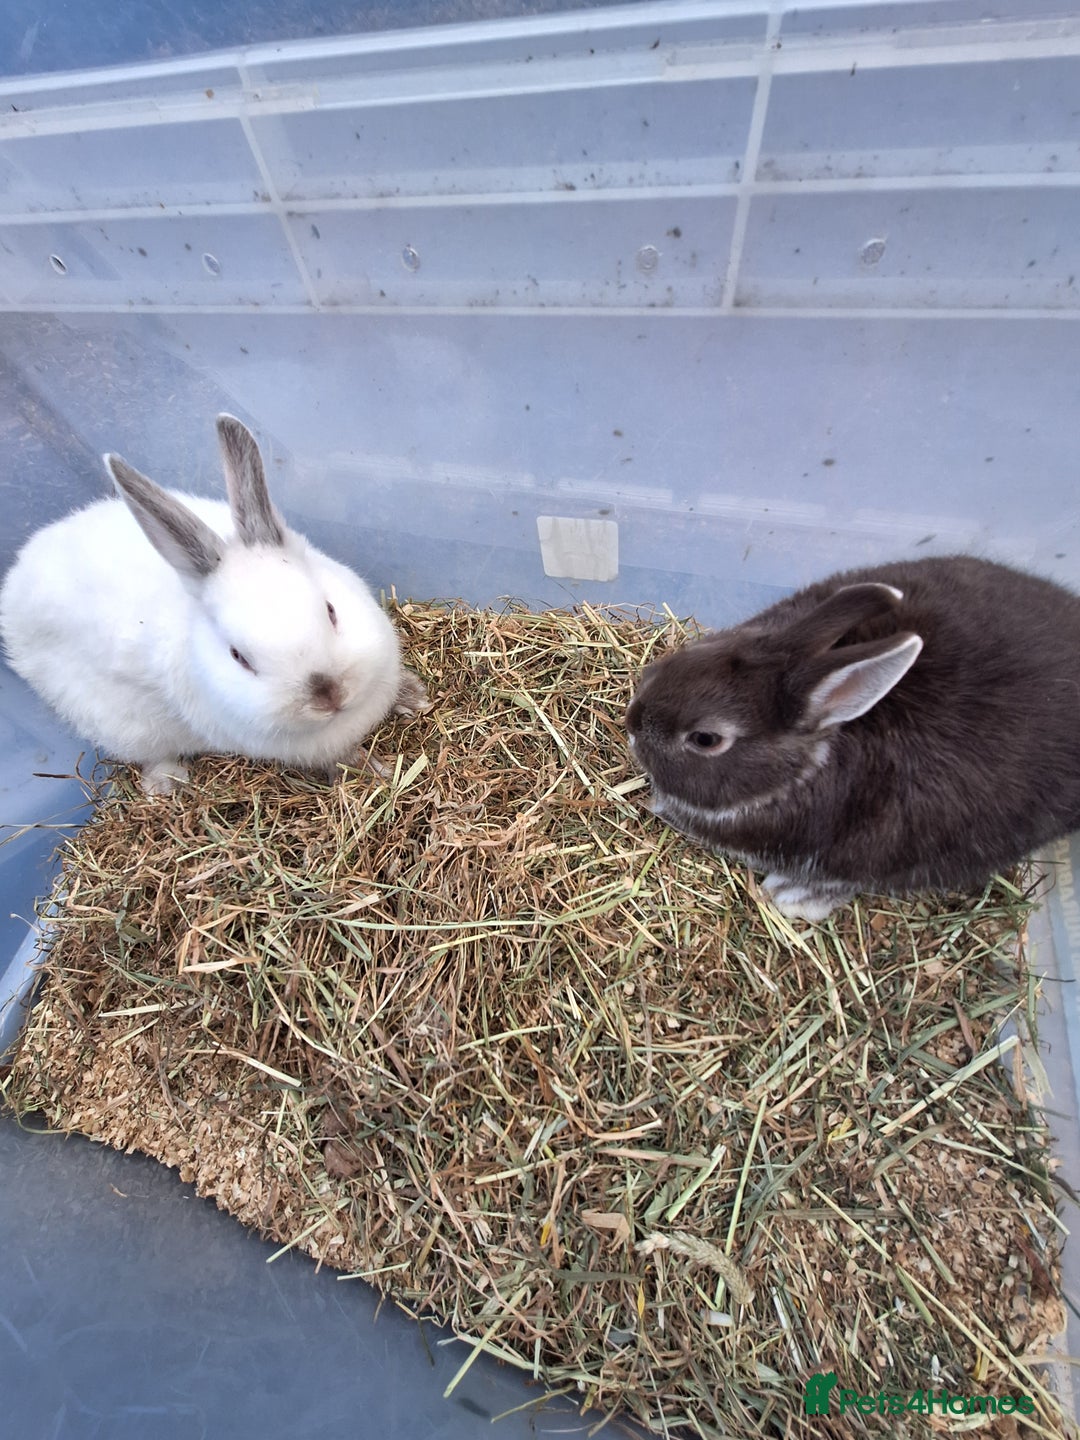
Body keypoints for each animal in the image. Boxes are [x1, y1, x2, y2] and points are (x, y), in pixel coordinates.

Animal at [0, 414, 429, 795]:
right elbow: (342, 757)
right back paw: (166, 784)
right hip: (121, 725)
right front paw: (373, 771)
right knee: (148, 754)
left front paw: (415, 696)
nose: (328, 694)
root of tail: (14, 586)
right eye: (238, 657)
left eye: (331, 610)